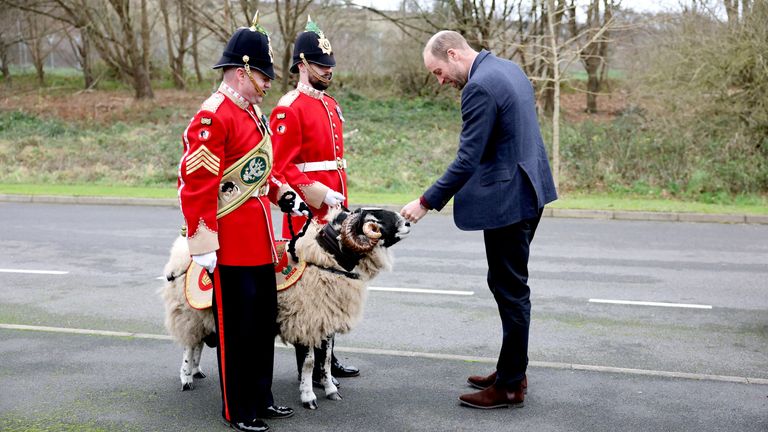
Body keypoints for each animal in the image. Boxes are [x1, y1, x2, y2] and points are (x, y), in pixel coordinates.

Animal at [160, 208, 412, 410]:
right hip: (188, 312)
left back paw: (196, 370)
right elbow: (309, 363)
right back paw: (186, 378)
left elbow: (326, 361)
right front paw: (309, 397)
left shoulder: (325, 321)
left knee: (198, 344)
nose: (408, 221)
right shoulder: (306, 323)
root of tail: (181, 252)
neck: (326, 262)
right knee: (189, 346)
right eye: (374, 220)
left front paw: (331, 390)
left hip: (202, 315)